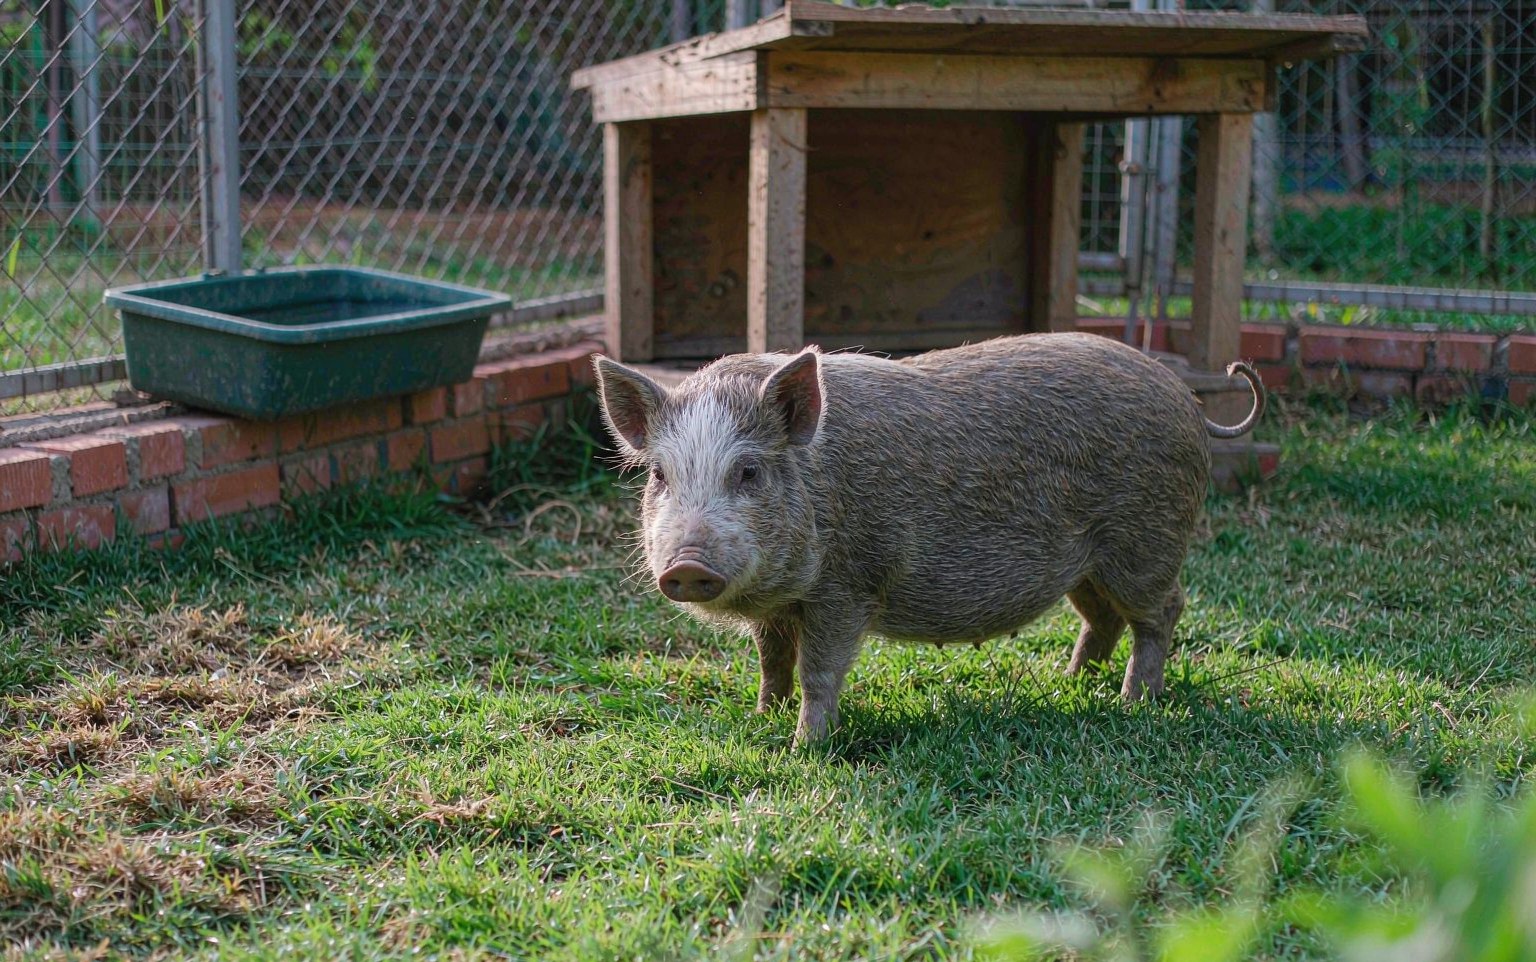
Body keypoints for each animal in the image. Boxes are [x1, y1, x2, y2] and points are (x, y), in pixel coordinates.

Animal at [593, 332, 1264, 745]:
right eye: (660, 475)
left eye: (749, 472)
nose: (686, 565)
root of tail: (1188, 398)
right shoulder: (779, 608)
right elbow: (772, 662)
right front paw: (763, 718)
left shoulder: (848, 586)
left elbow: (818, 670)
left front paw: (804, 747)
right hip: (1086, 561)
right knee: (1104, 618)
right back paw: (1072, 683)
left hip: (1145, 540)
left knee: (1164, 611)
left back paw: (1132, 703)